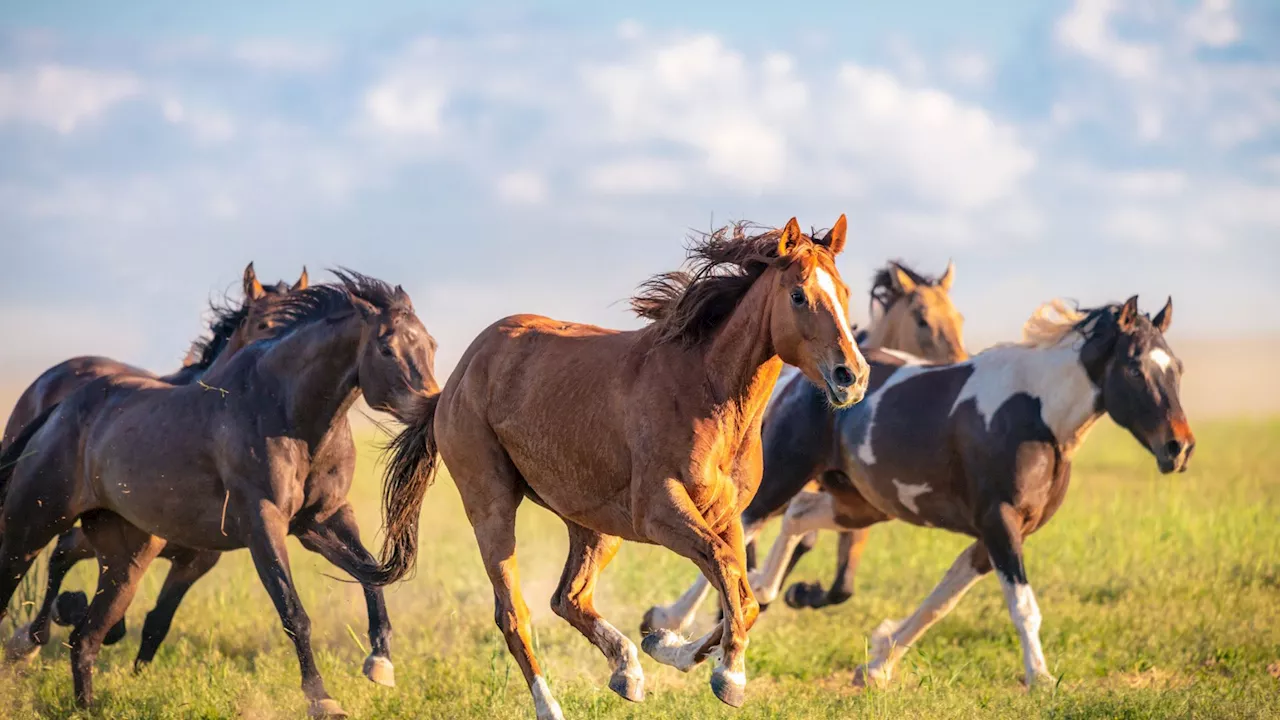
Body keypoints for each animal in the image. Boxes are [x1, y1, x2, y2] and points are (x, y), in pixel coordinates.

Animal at [360, 219, 870, 717]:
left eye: (845, 292)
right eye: (799, 295)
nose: (852, 376)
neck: (707, 394)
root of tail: (457, 378)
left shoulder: (726, 517)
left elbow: (742, 597)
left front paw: (666, 644)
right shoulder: (660, 512)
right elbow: (729, 577)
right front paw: (729, 677)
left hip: (594, 524)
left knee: (568, 597)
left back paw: (628, 670)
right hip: (491, 506)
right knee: (514, 613)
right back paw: (551, 705)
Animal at [650, 258, 967, 632]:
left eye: (958, 317)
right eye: (922, 319)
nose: (960, 362)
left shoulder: (853, 501)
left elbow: (841, 583)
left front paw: (799, 593)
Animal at [747, 295, 1198, 681]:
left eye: (1177, 367)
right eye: (1135, 368)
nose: (1178, 448)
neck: (1037, 416)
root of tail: (799, 378)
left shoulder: (997, 534)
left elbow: (940, 602)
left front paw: (876, 666)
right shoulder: (1000, 523)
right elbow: (1023, 607)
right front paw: (1040, 678)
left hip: (861, 504)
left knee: (797, 516)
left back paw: (766, 590)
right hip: (784, 477)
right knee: (749, 524)